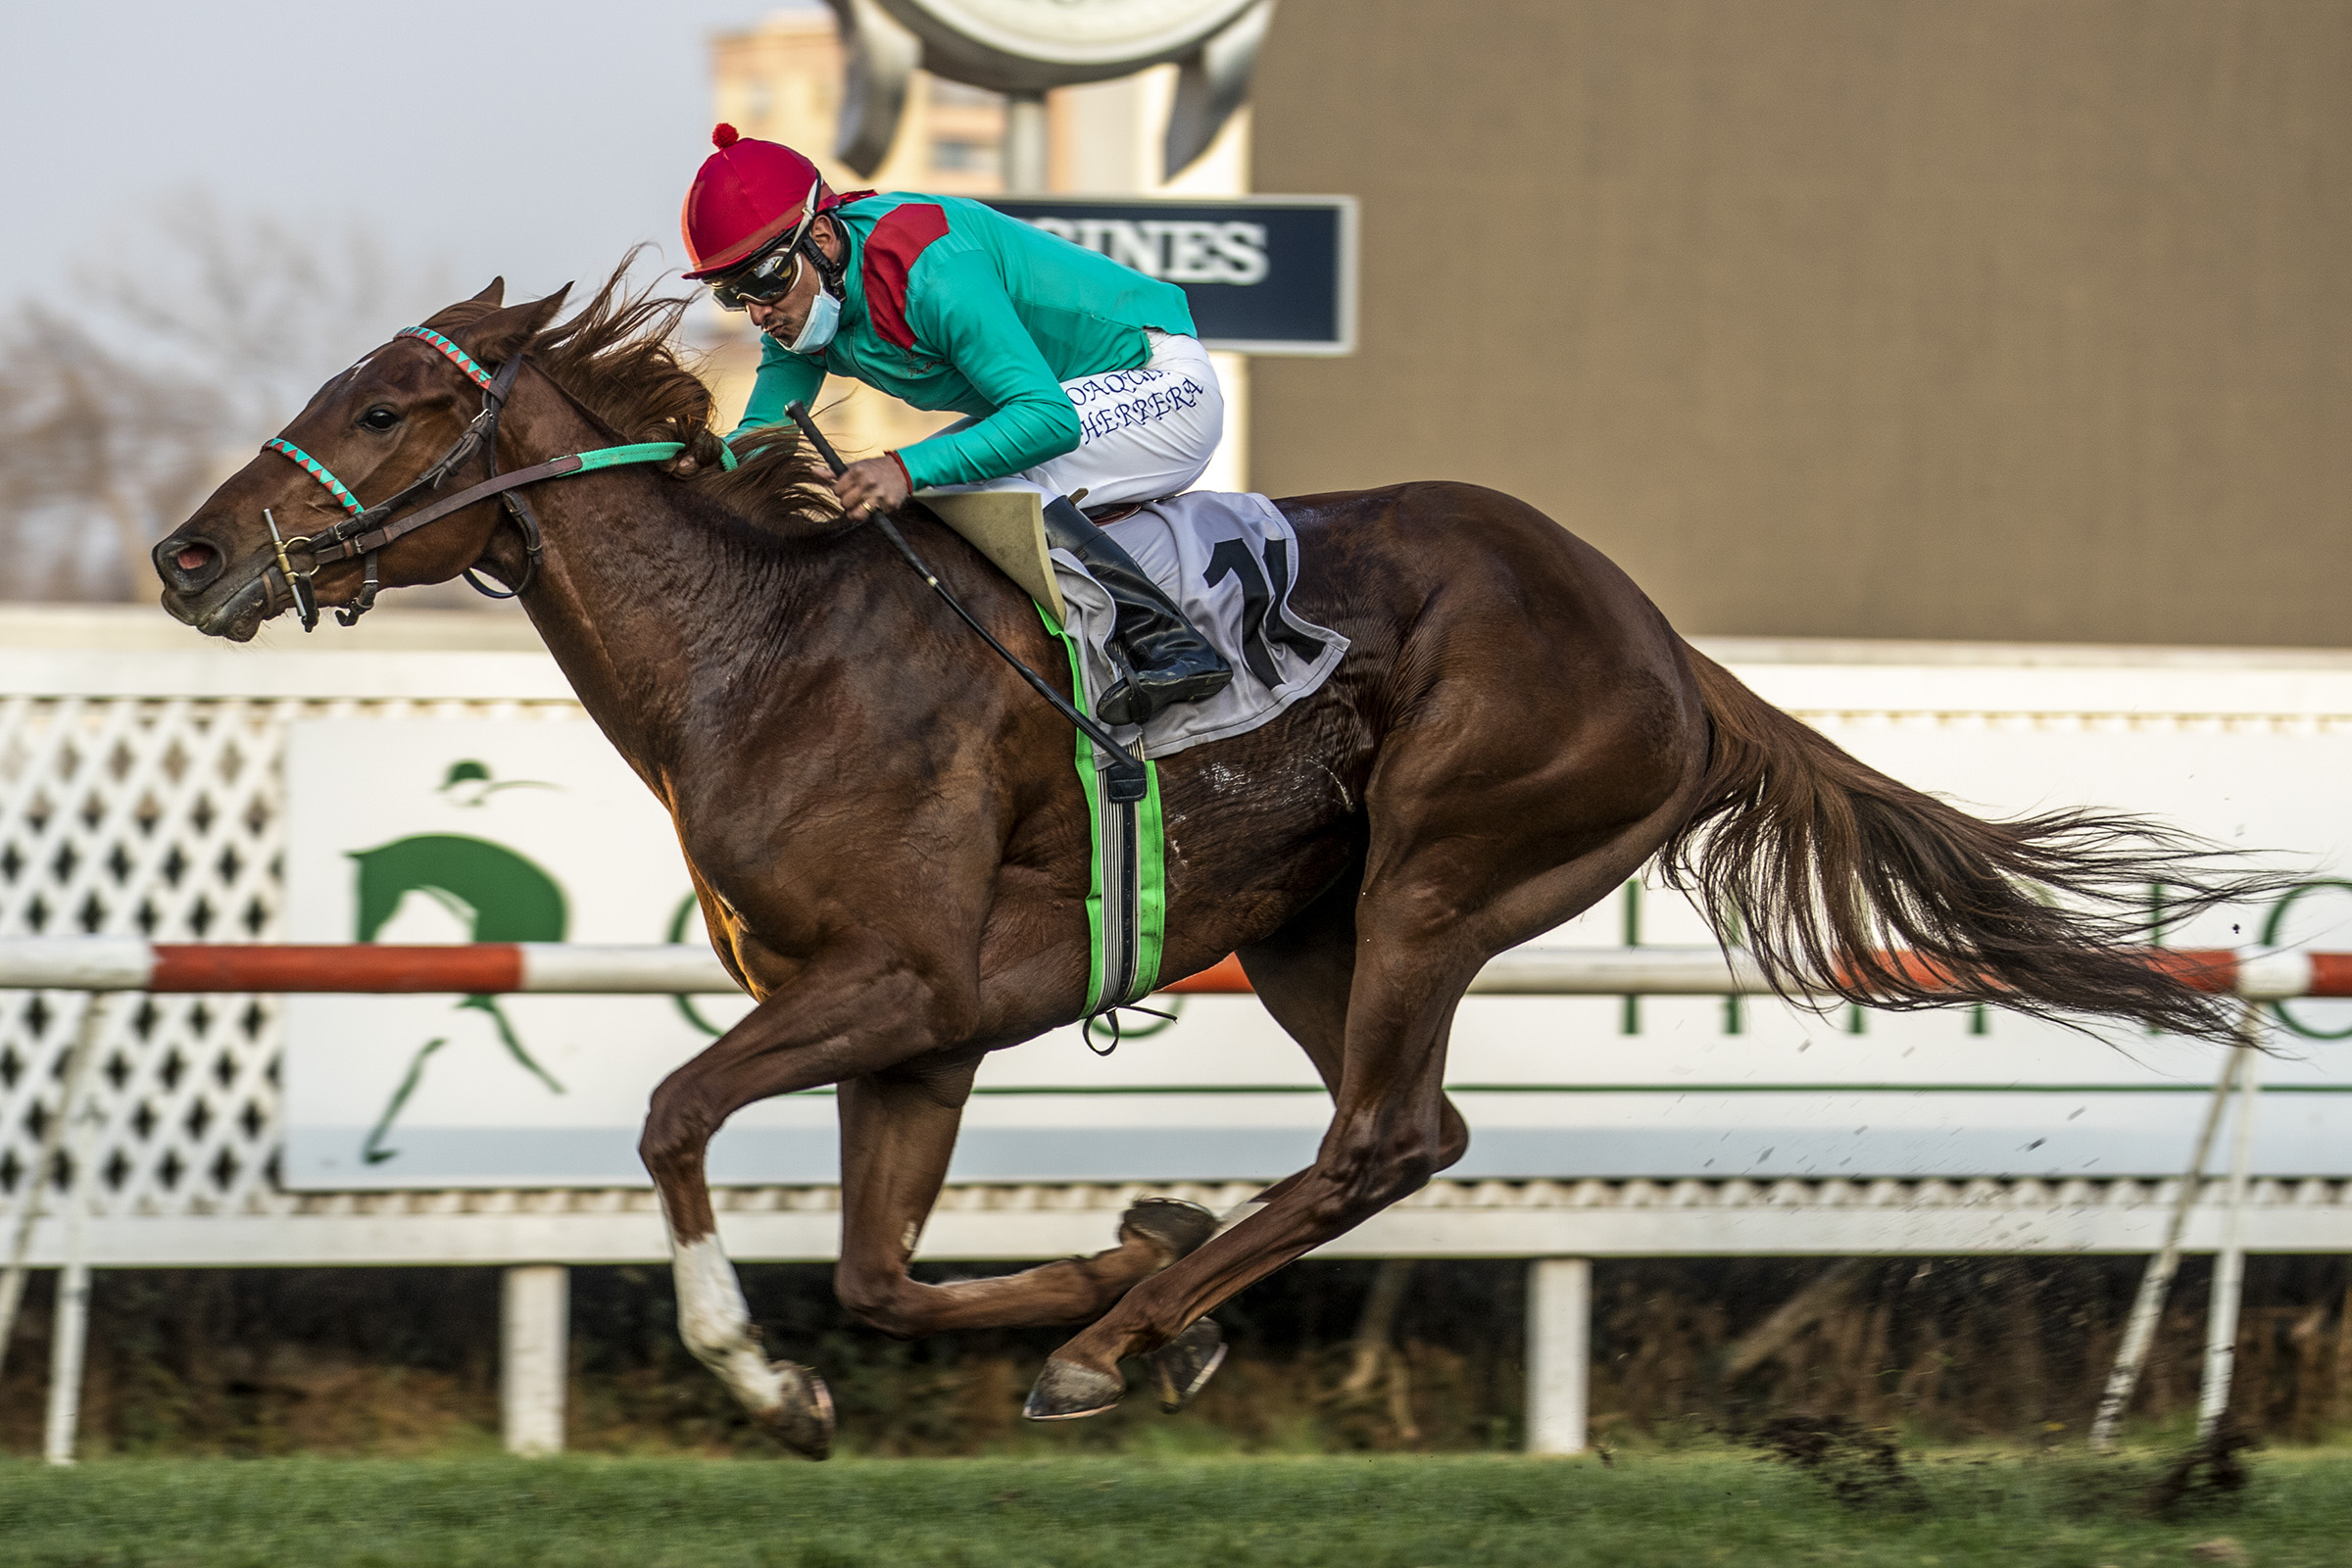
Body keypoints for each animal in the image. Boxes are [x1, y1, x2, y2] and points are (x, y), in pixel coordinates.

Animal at [152, 272, 2259, 1458]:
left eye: (388, 407)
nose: (187, 555)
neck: (764, 646)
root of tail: (1672, 649)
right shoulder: (924, 1036)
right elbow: (884, 1280)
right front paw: (1114, 1262)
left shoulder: (896, 985)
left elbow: (676, 1120)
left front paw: (773, 1382)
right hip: (1323, 923)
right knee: (1401, 1140)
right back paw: (1145, 1309)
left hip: (1438, 870)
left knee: (1386, 1137)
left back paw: (1115, 1348)